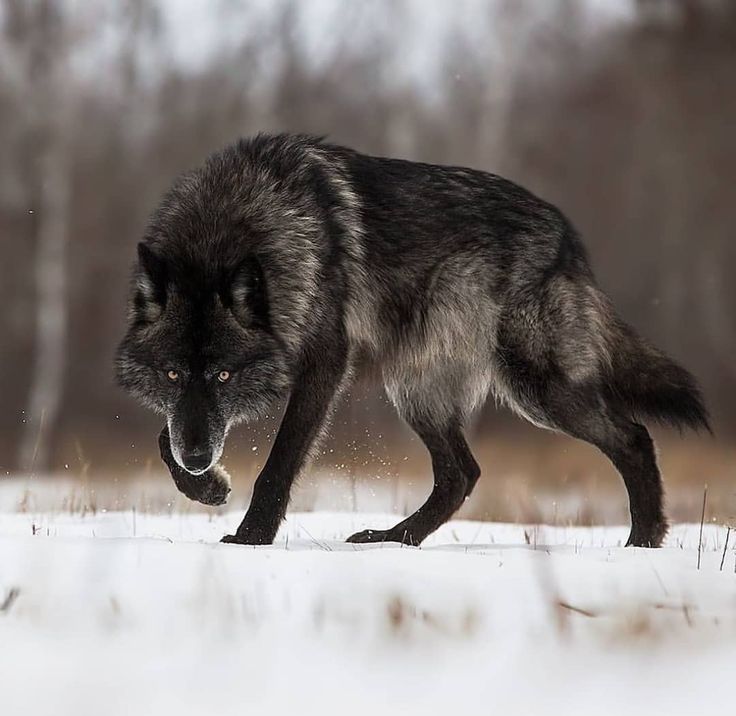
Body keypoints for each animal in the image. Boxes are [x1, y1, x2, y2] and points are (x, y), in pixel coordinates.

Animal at [115, 133, 708, 548]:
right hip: (417, 389)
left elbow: (279, 462)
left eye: (223, 374)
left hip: (534, 389)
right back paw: (392, 540)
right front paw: (206, 487)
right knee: (460, 474)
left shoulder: (326, 363)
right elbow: (164, 438)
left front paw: (251, 538)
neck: (230, 227)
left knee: (633, 437)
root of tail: (569, 237)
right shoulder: (192, 412)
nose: (200, 459)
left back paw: (642, 543)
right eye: (172, 373)